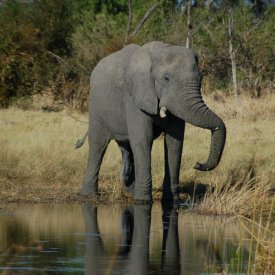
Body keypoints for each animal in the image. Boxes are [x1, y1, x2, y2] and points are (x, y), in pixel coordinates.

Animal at [80, 42, 226, 204]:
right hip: (95, 105)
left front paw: (172, 201)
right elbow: (143, 139)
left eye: (200, 80)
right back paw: (89, 195)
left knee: (127, 147)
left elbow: (174, 143)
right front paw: (143, 202)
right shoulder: (135, 96)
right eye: (166, 79)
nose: (197, 164)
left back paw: (129, 192)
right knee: (98, 145)